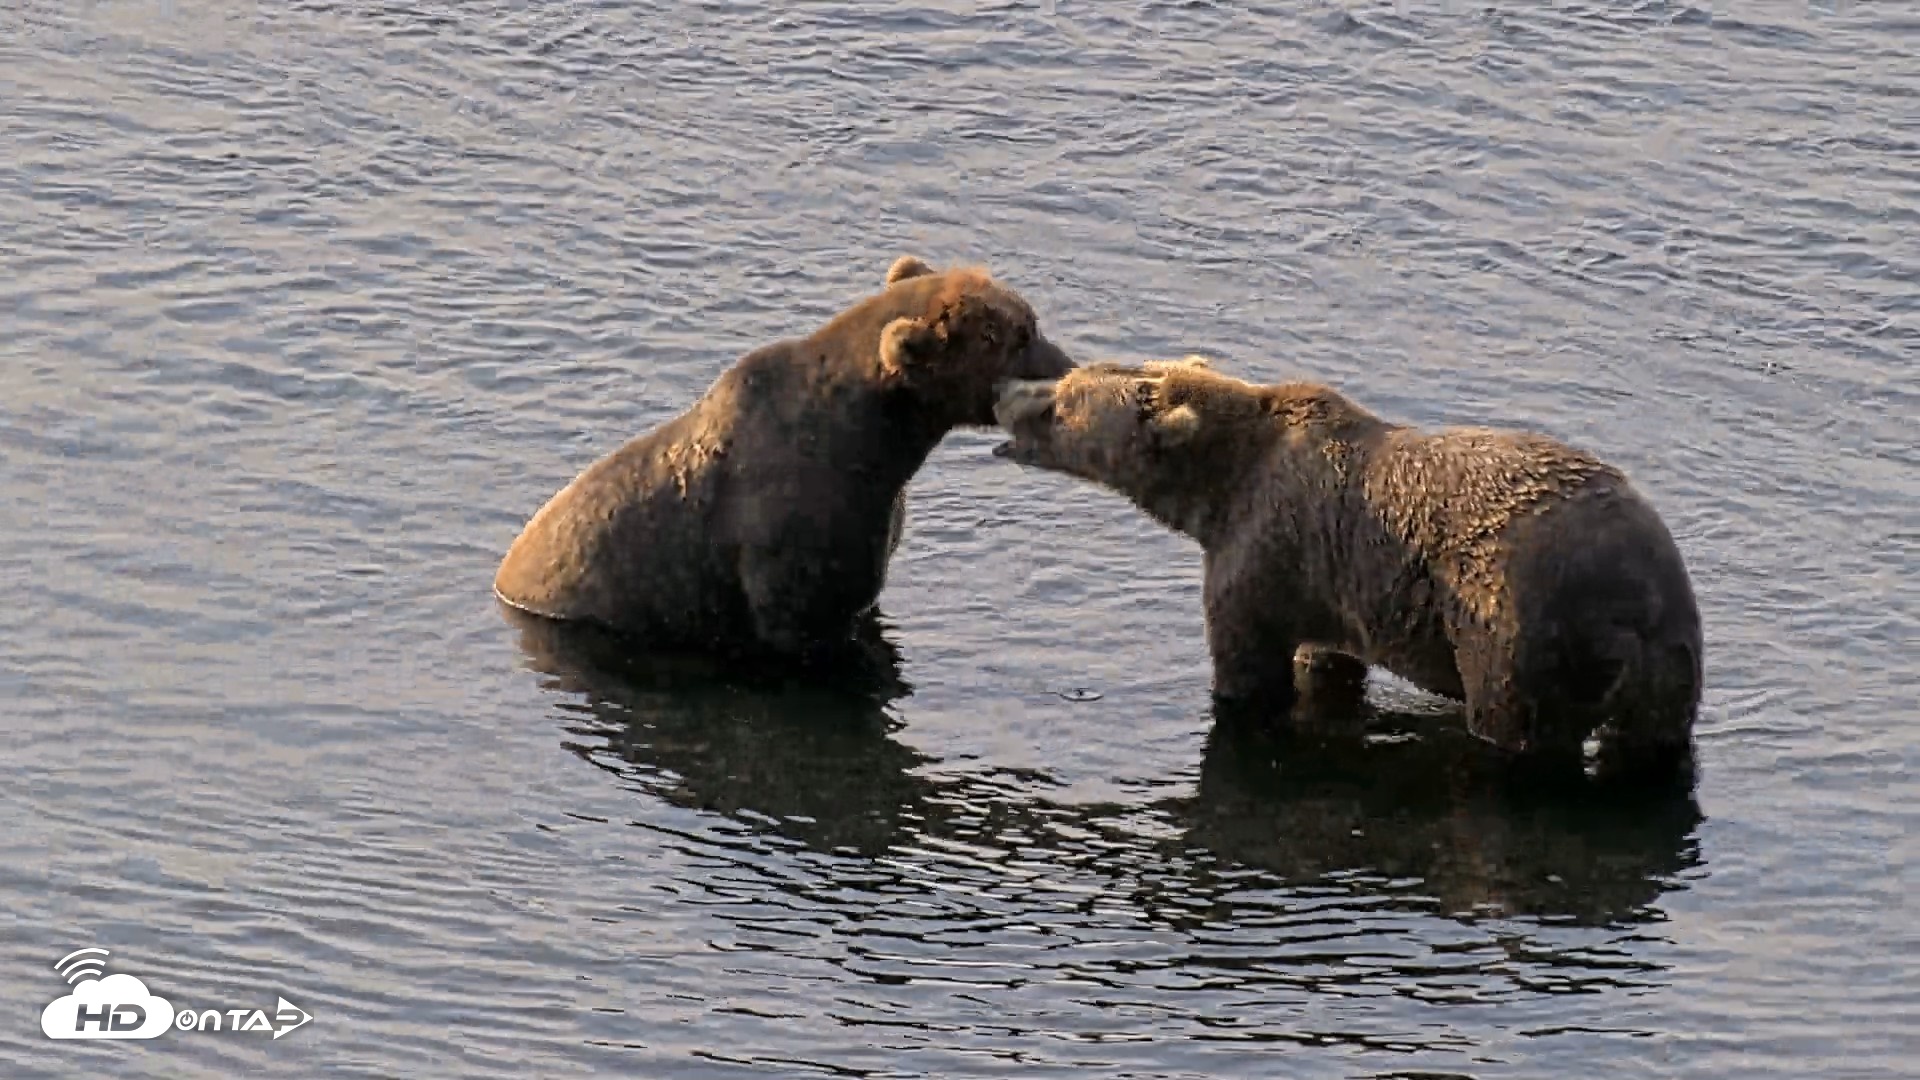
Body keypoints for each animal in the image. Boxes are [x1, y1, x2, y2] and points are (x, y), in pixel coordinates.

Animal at [992, 356, 1703, 784]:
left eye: (1062, 402)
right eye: (1067, 379)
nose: (1004, 389)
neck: (1218, 485)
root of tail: (1633, 604)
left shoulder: (1261, 548)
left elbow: (1246, 666)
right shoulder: (1327, 584)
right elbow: (1326, 660)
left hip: (1517, 628)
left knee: (1515, 726)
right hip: (1672, 656)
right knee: (1653, 742)